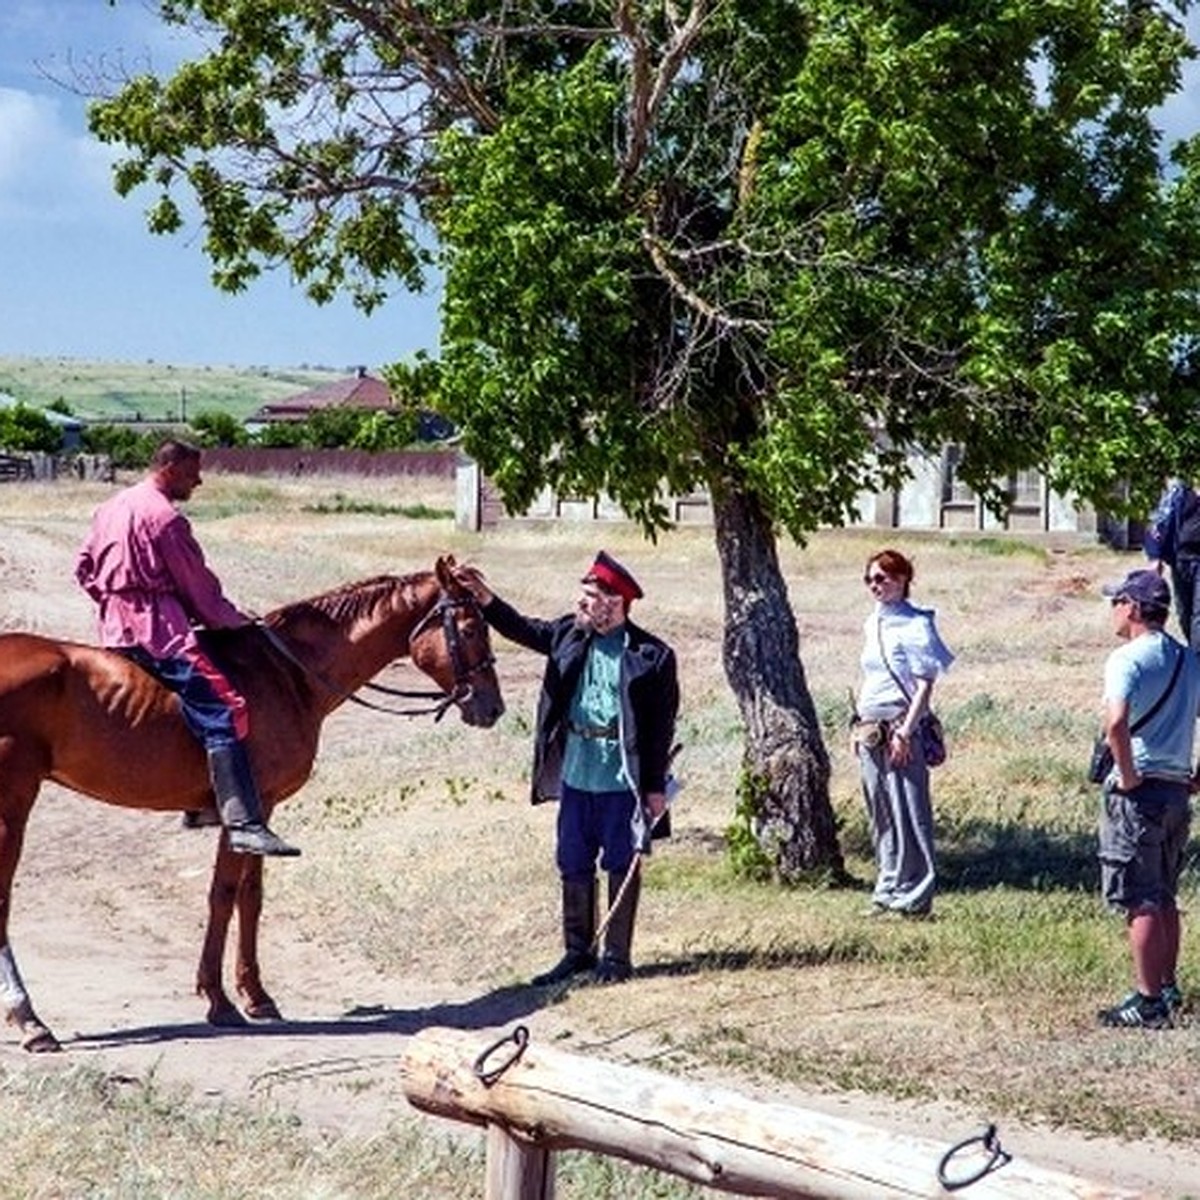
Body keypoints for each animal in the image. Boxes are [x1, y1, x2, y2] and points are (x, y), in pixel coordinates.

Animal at [0, 552, 501, 1051]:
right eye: (470, 628)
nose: (492, 707)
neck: (287, 675)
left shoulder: (265, 812)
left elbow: (250, 897)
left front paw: (257, 995)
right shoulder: (245, 815)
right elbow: (223, 895)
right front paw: (219, 999)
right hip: (13, 806)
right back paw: (29, 1018)